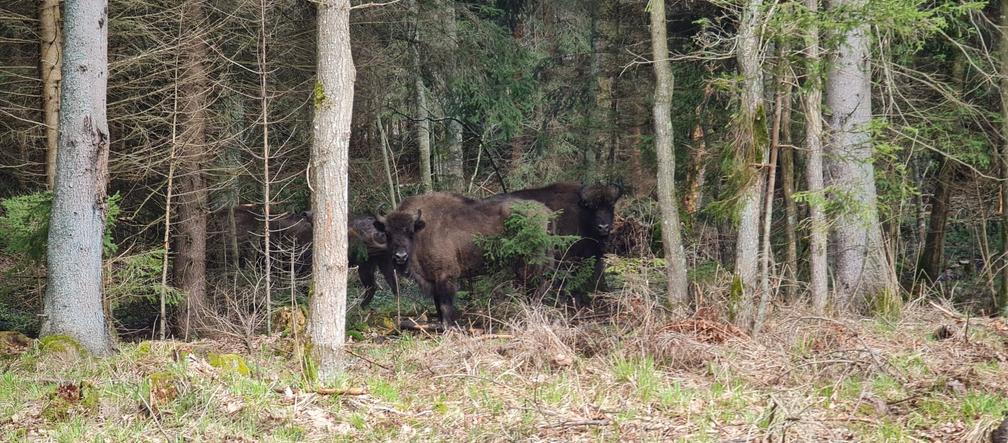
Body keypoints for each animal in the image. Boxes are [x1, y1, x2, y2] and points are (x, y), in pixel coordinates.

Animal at [372, 192, 552, 326]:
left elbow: (445, 305)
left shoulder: (446, 276)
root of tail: (545, 211)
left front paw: (449, 327)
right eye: (387, 233)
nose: (400, 256)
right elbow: (437, 304)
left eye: (409, 232)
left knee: (537, 286)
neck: (421, 230)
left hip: (530, 263)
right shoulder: (432, 279)